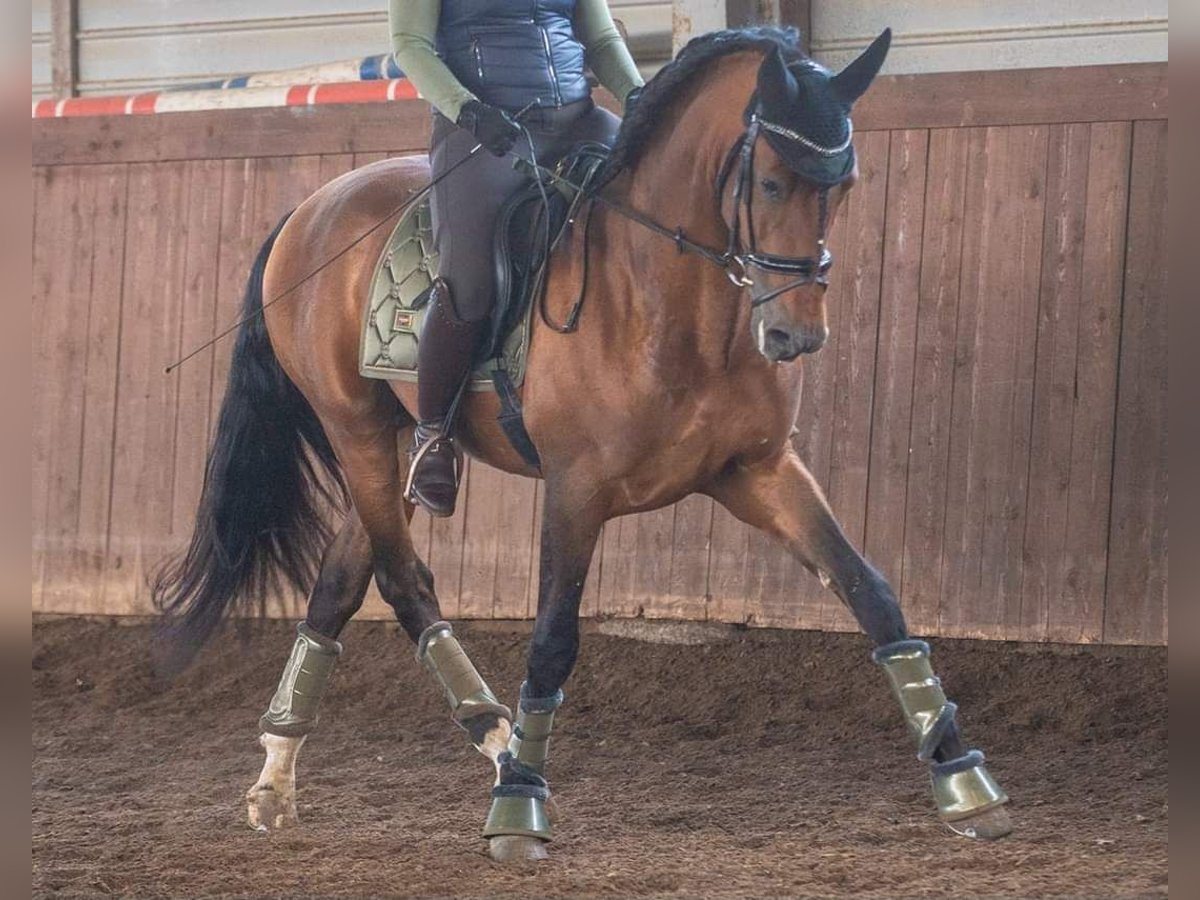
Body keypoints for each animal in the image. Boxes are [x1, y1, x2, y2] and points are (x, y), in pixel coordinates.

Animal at [154, 24, 1008, 864]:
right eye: (768, 182)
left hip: (391, 449)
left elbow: (872, 594)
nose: (796, 336)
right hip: (356, 428)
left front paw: (962, 780)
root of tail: (312, 207)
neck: (670, 301)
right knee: (403, 581)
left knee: (338, 582)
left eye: (845, 186)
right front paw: (519, 806)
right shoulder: (577, 487)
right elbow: (555, 640)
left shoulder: (759, 470)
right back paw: (493, 737)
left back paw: (279, 778)